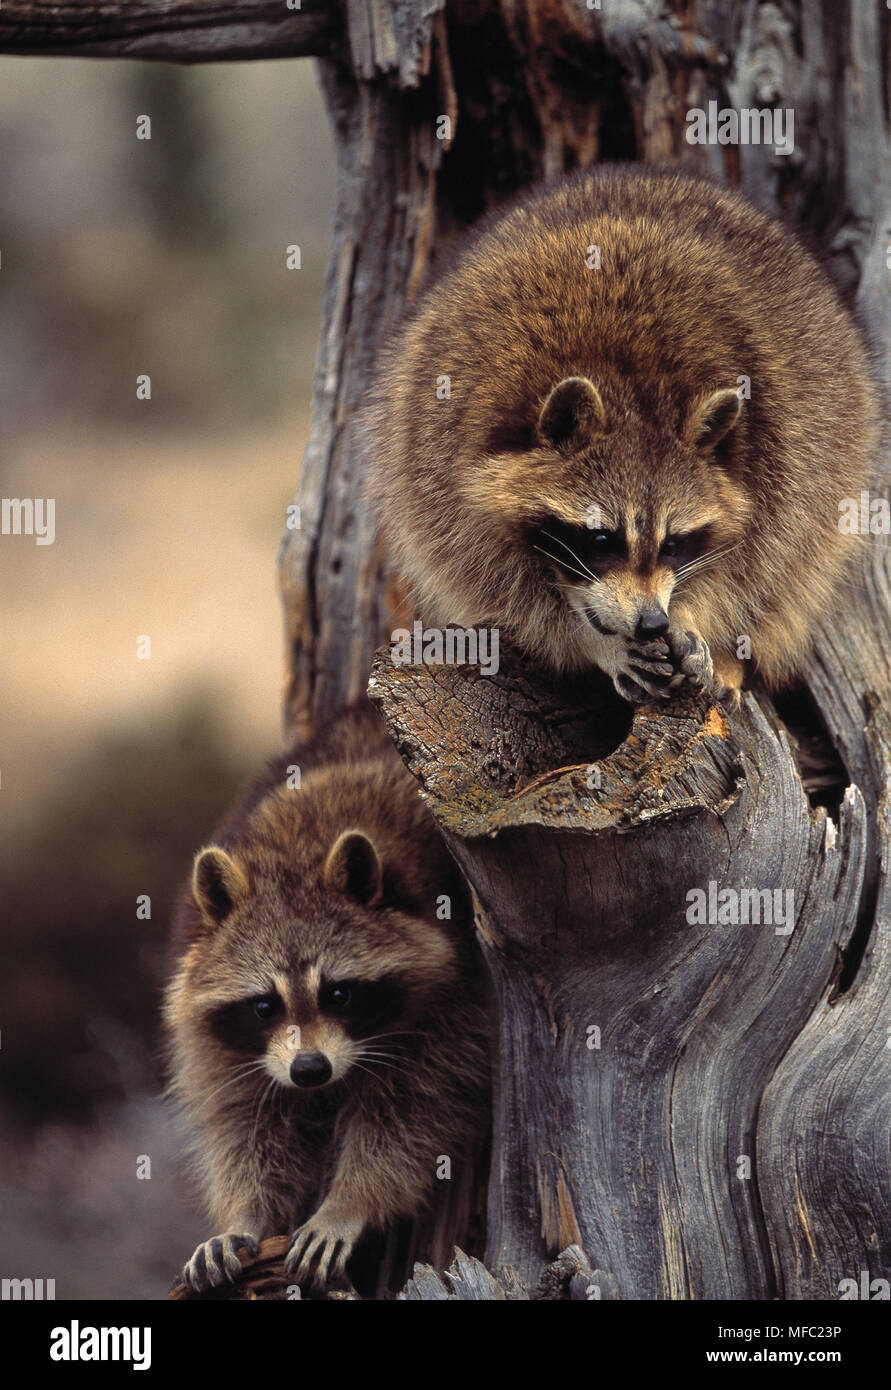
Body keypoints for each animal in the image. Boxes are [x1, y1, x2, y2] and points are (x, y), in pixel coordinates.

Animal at [163, 706, 489, 1289]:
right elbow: (246, 1126)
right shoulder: (220, 1043)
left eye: (339, 994)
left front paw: (348, 1203)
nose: (310, 1070)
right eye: (264, 1005)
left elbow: (414, 1114)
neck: (296, 853)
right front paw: (244, 1215)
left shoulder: (455, 1000)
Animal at [364, 166, 878, 700]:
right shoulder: (441, 466)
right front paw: (592, 639)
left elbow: (753, 564)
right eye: (600, 538)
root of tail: (633, 173)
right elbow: (502, 591)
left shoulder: (776, 459)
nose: (653, 623)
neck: (629, 388)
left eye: (673, 544)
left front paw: (693, 618)